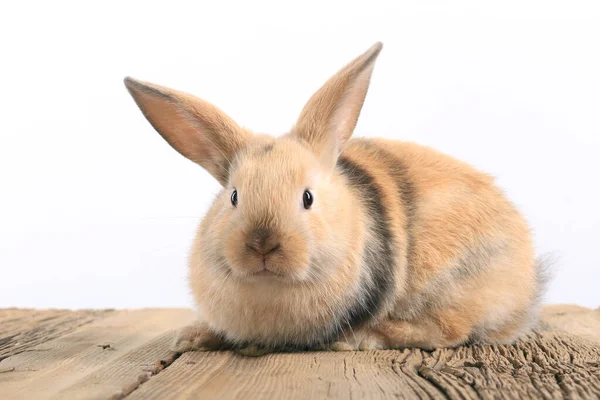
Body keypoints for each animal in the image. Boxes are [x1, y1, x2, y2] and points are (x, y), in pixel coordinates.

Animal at [123, 41, 548, 354]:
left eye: (308, 198)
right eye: (234, 197)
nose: (262, 245)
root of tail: (528, 282)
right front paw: (194, 336)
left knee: (448, 331)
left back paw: (360, 339)